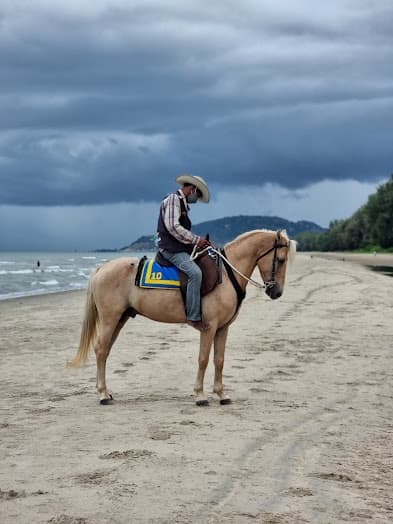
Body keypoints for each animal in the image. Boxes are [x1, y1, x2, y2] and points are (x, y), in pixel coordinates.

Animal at [68, 229, 294, 406]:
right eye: (280, 259)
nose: (277, 292)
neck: (226, 274)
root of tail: (101, 268)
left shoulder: (223, 328)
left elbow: (219, 360)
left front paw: (221, 394)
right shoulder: (209, 327)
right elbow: (203, 359)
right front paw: (200, 395)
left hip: (119, 319)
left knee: (105, 351)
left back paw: (106, 391)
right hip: (109, 318)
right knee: (100, 350)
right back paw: (103, 394)